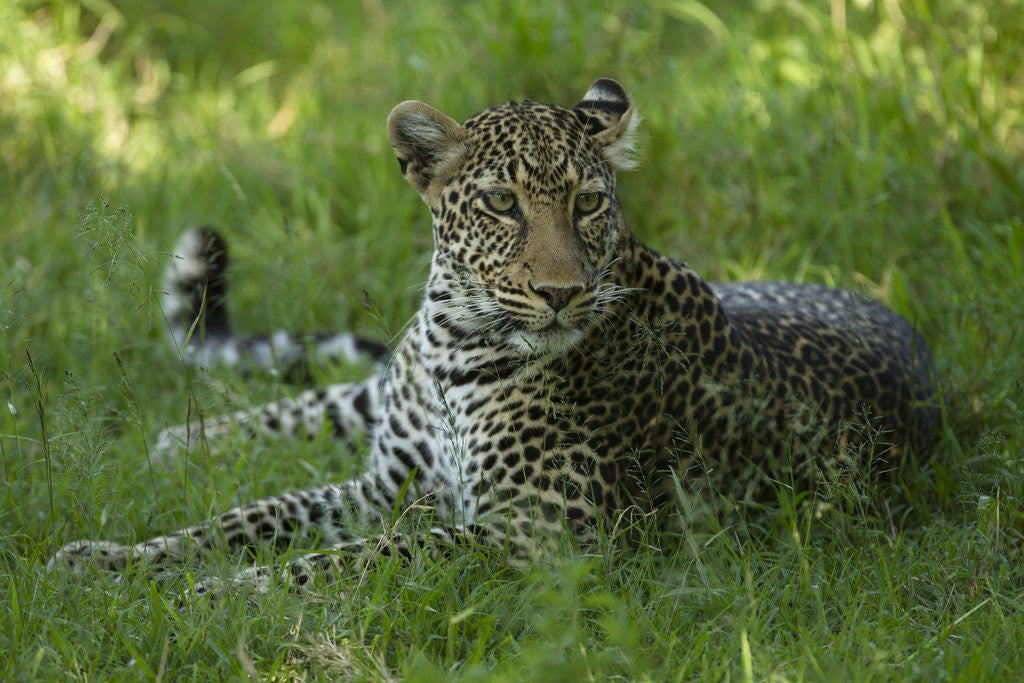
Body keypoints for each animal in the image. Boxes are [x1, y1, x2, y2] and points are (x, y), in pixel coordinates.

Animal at [49, 78, 937, 598]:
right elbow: (248, 516)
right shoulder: (385, 485)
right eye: (503, 204)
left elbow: (354, 556)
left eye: (587, 203)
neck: (454, 340)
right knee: (321, 399)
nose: (561, 292)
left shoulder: (532, 536)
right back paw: (179, 443)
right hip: (375, 399)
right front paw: (114, 559)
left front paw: (219, 594)